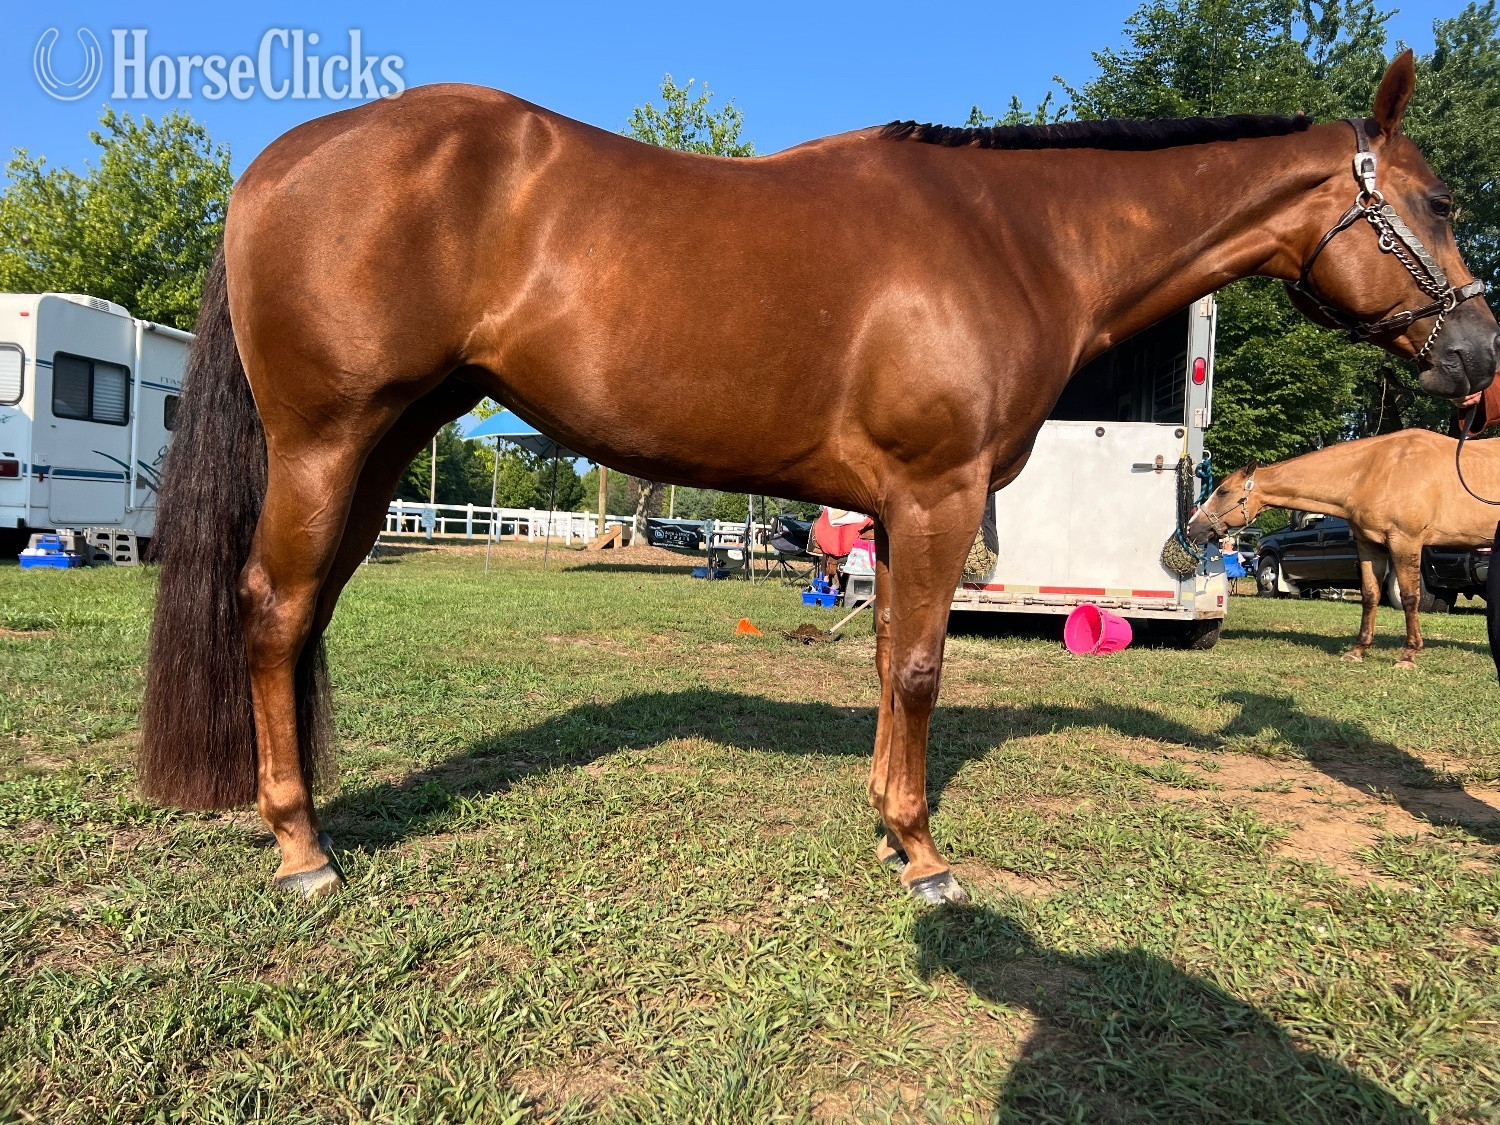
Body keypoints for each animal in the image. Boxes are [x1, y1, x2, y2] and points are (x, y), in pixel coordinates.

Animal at [1187, 430, 1500, 668]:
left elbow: (1410, 597)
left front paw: (1409, 654)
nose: (1192, 528)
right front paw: (1358, 649)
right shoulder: (1370, 544)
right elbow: (1370, 595)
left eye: (1223, 491)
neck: (1378, 470)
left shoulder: (1405, 541)